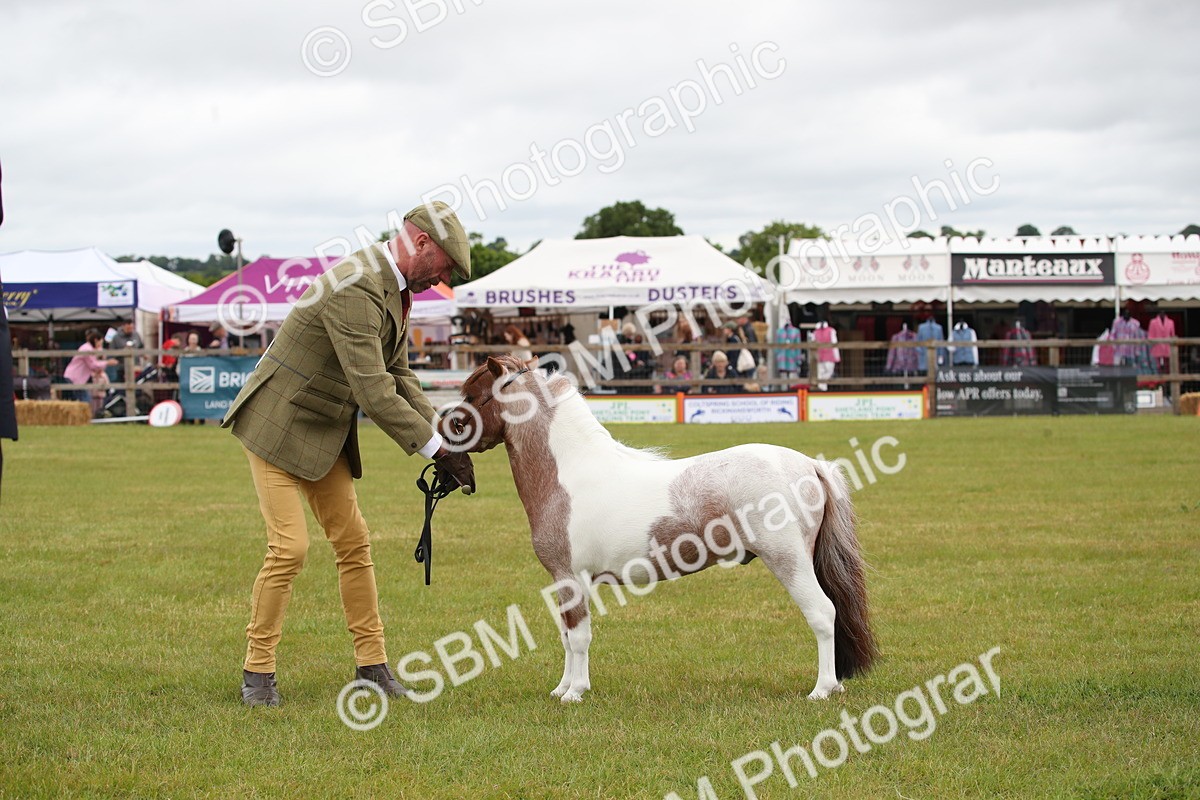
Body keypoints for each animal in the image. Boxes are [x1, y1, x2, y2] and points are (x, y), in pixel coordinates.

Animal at [448, 354, 878, 703]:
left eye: (472, 396)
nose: (449, 434)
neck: (569, 473)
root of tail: (810, 465)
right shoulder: (562, 581)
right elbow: (567, 636)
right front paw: (561, 689)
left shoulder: (573, 578)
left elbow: (580, 637)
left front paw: (575, 692)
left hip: (788, 560)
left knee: (822, 613)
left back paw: (822, 690)